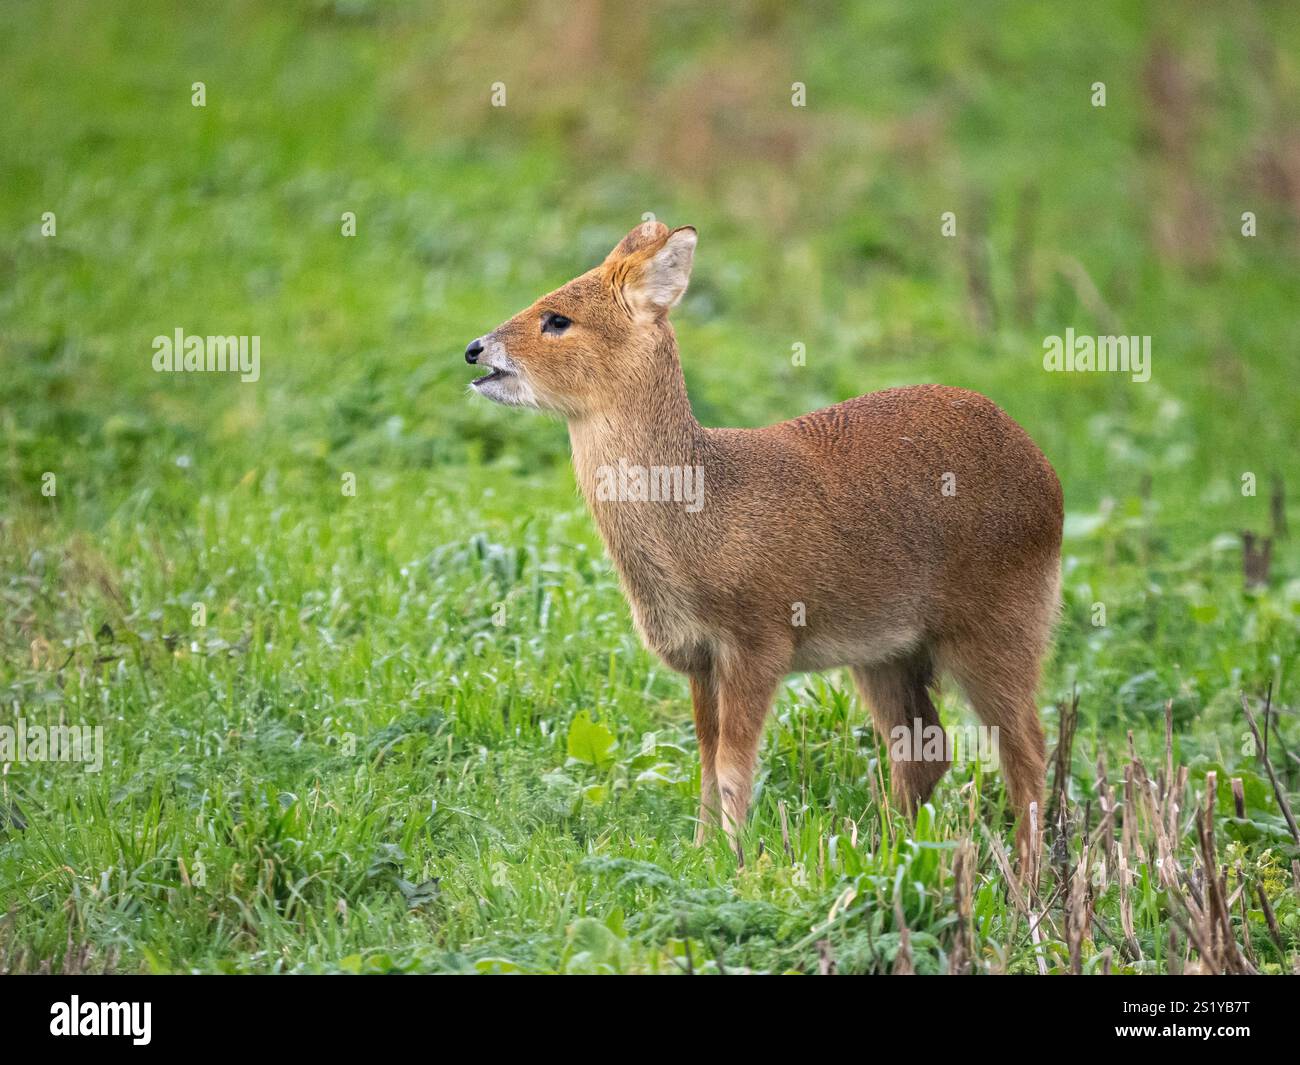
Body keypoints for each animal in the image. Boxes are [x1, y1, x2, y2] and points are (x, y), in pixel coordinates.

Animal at [462, 218, 1060, 868]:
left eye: (557, 318)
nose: (475, 350)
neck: (699, 514)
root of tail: (1045, 471)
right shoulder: (700, 657)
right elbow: (704, 761)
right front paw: (703, 852)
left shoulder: (759, 642)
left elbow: (733, 763)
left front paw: (734, 860)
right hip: (887, 652)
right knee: (927, 749)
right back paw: (893, 850)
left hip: (1000, 629)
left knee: (1028, 748)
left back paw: (1027, 873)